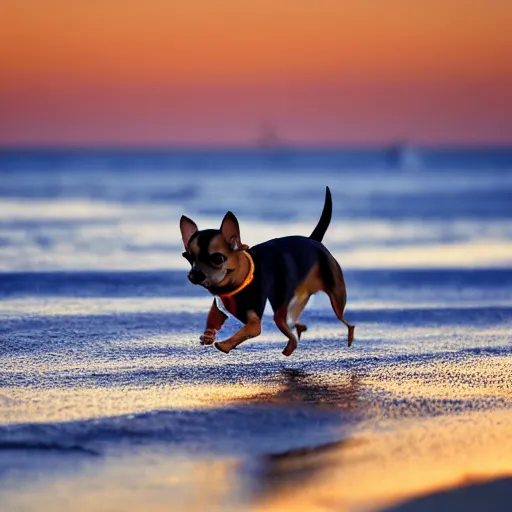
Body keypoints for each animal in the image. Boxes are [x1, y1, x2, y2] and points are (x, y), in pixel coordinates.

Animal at [181, 187, 356, 356]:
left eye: (217, 258)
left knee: (347, 323)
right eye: (188, 257)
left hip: (333, 297)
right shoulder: (220, 306)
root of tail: (313, 240)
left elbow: (245, 331)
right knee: (292, 323)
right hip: (293, 301)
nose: (193, 275)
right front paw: (208, 336)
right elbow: (214, 321)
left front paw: (225, 344)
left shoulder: (254, 322)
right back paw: (295, 336)